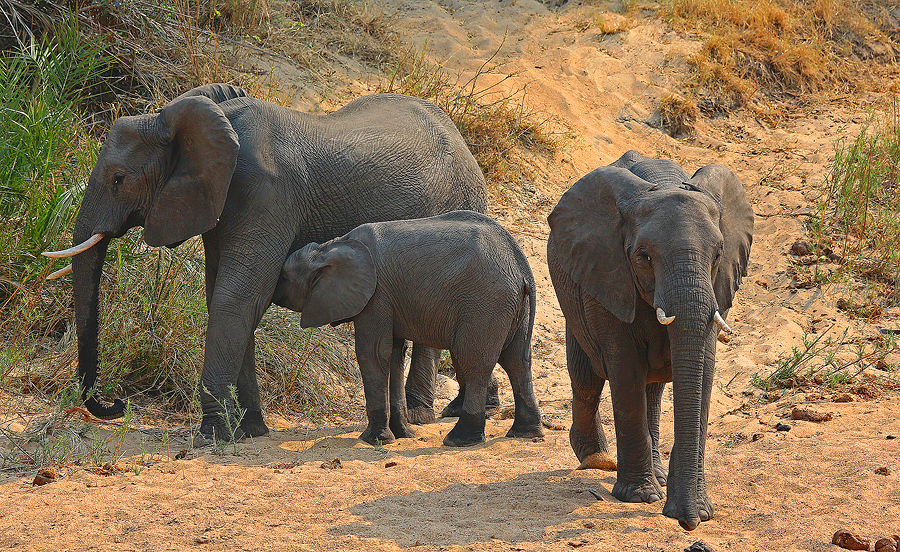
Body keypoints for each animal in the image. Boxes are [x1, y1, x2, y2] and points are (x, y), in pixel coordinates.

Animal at [44, 84, 488, 446]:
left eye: (119, 179)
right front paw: (249, 430)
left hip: (464, 195)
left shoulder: (266, 194)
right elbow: (223, 298)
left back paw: (422, 415)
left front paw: (213, 437)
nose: (116, 405)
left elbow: (238, 297)